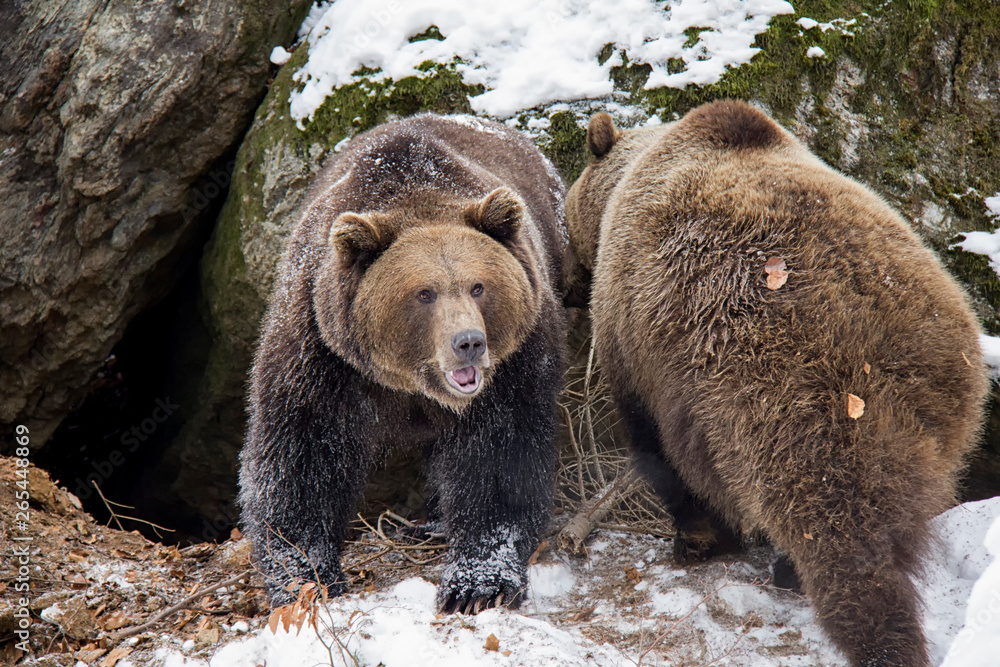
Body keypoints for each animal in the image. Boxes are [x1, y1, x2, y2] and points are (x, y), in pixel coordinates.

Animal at [239, 113, 567, 614]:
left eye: (478, 286)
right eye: (424, 293)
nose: (468, 343)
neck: (410, 384)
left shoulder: (516, 359)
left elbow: (500, 455)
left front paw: (477, 583)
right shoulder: (321, 352)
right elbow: (300, 455)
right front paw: (305, 576)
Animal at [564, 100, 989, 667]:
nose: (567, 283)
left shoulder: (636, 335)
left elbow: (655, 445)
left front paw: (697, 536)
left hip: (772, 395)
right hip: (943, 393)